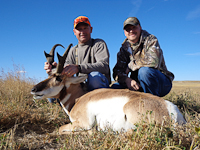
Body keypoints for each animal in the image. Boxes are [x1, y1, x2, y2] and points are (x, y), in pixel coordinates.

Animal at [30, 44, 186, 134]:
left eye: (58, 78)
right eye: (48, 75)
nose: (34, 89)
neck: (79, 99)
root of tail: (170, 109)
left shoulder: (83, 123)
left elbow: (59, 129)